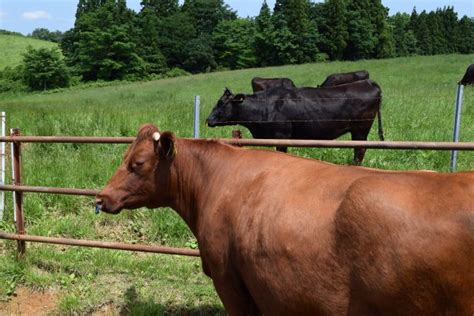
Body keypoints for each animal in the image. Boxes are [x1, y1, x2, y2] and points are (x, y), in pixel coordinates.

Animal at [207, 79, 386, 165]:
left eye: (222, 104)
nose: (208, 120)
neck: (265, 106)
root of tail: (369, 82)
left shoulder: (282, 136)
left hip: (360, 129)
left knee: (360, 150)